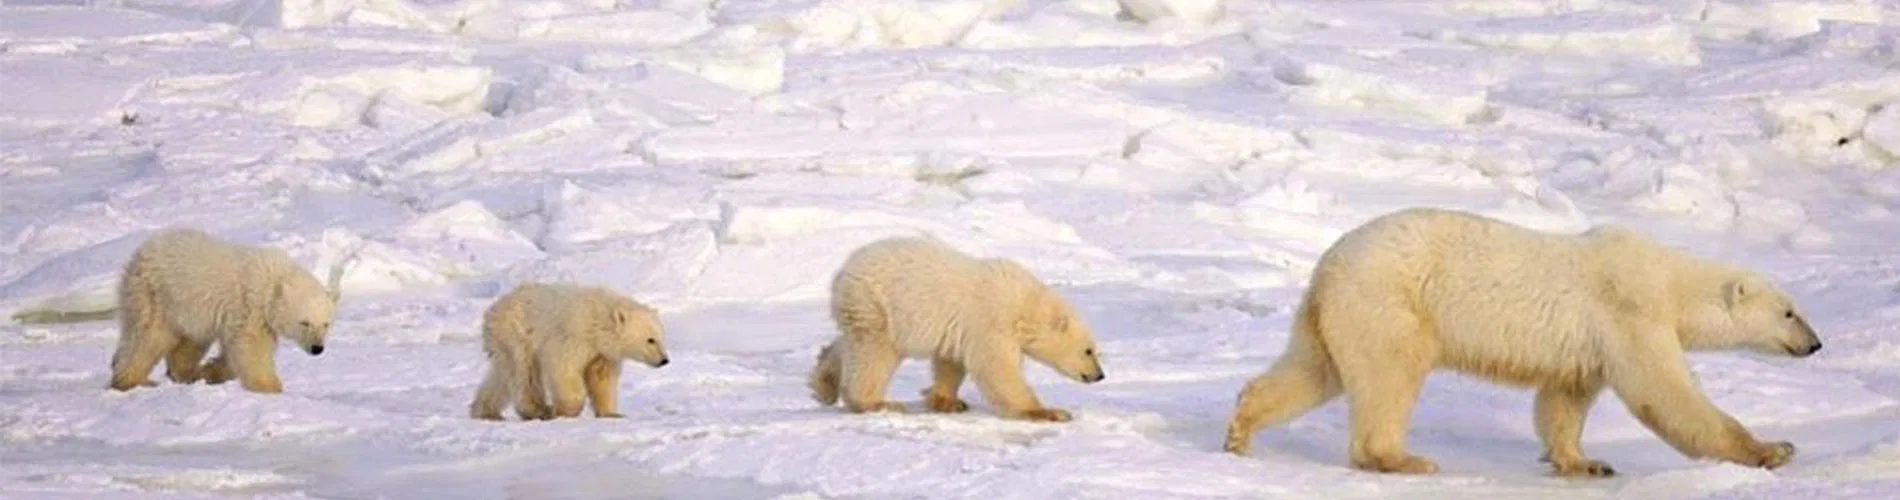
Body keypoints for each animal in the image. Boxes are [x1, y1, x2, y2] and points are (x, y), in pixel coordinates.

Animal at [108, 228, 349, 394]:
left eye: (326, 324)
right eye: (304, 322)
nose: (317, 348)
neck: (273, 281)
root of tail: (140, 252)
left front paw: (212, 371)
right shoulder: (250, 308)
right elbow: (251, 347)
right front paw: (271, 387)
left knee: (189, 342)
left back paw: (188, 372)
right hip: (155, 295)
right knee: (147, 337)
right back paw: (132, 379)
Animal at [468, 282, 670, 421]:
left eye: (662, 338)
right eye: (650, 340)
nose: (664, 360)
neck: (596, 322)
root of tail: (492, 310)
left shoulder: (601, 353)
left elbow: (601, 378)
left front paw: (612, 413)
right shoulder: (572, 336)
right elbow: (564, 369)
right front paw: (566, 410)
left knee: (501, 377)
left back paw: (485, 411)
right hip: (516, 336)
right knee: (525, 374)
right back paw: (540, 410)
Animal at [807, 236, 1106, 422]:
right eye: (1089, 350)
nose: (1099, 375)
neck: (1025, 304)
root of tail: (843, 273)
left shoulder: (963, 330)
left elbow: (950, 361)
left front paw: (948, 401)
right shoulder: (991, 321)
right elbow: (998, 370)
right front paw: (1052, 412)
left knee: (850, 345)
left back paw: (824, 385)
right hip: (880, 308)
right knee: (873, 355)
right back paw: (876, 403)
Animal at [1221, 207, 1823, 477]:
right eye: (1789, 311)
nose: (1816, 344)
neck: (1670, 280)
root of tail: (1327, 265)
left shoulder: (1588, 347)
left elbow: (1564, 400)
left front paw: (1584, 462)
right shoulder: (1631, 314)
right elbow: (1667, 395)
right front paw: (1774, 450)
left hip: (1337, 313)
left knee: (1312, 370)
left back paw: (1241, 431)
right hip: (1390, 303)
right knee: (1390, 375)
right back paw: (1403, 458)